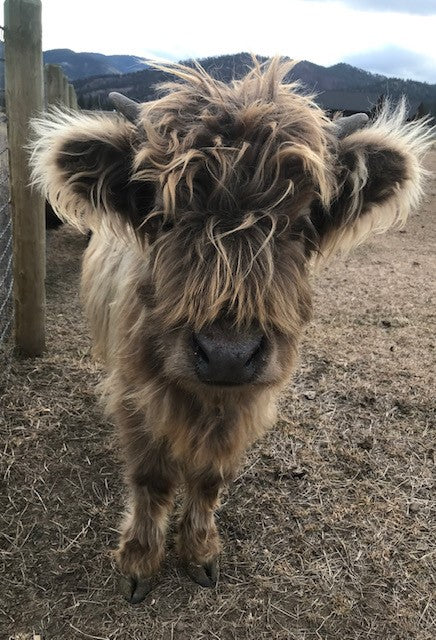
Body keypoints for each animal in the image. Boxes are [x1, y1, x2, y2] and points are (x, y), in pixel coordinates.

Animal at [29, 58, 432, 600]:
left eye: (299, 223)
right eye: (165, 218)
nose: (227, 354)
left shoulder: (245, 402)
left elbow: (209, 478)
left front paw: (200, 552)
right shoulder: (136, 396)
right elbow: (152, 478)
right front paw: (139, 562)